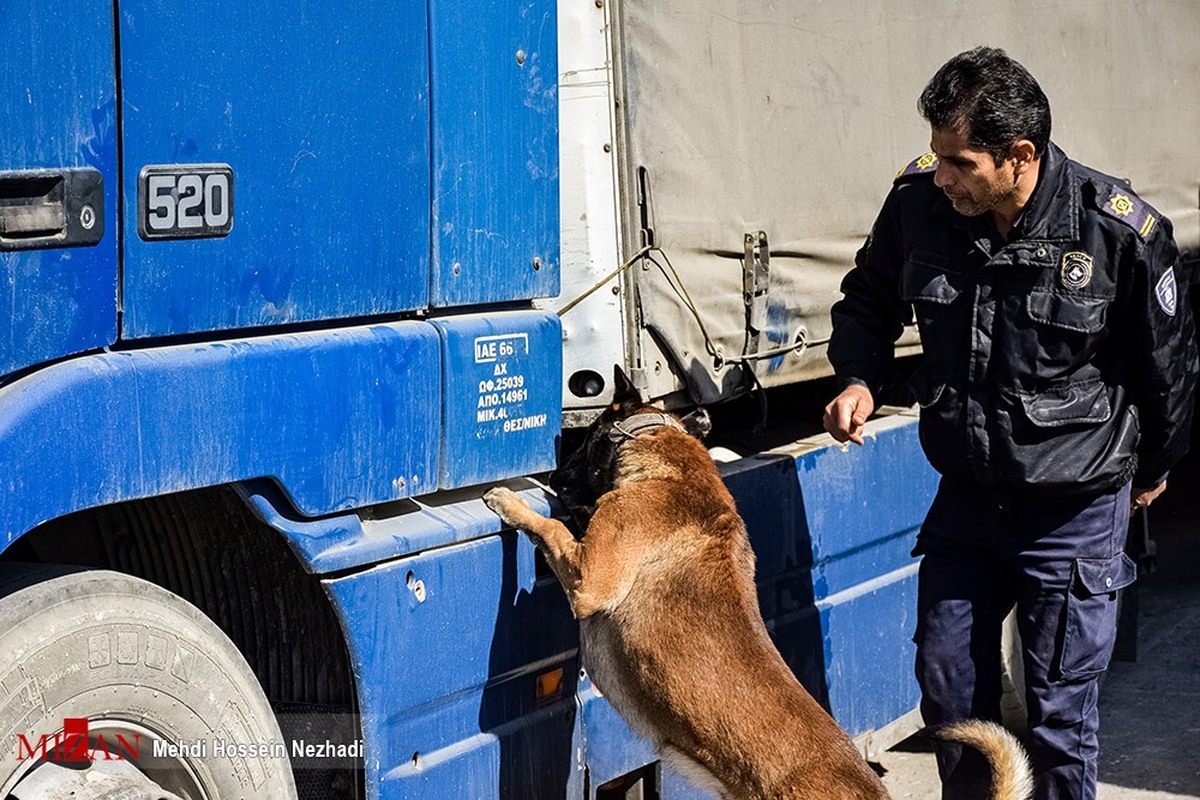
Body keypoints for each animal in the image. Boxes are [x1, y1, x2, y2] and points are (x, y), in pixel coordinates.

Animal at [487, 376, 1032, 800]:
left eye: (580, 445)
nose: (555, 474)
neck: (666, 453)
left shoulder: (588, 580)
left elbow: (552, 528)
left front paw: (512, 501)